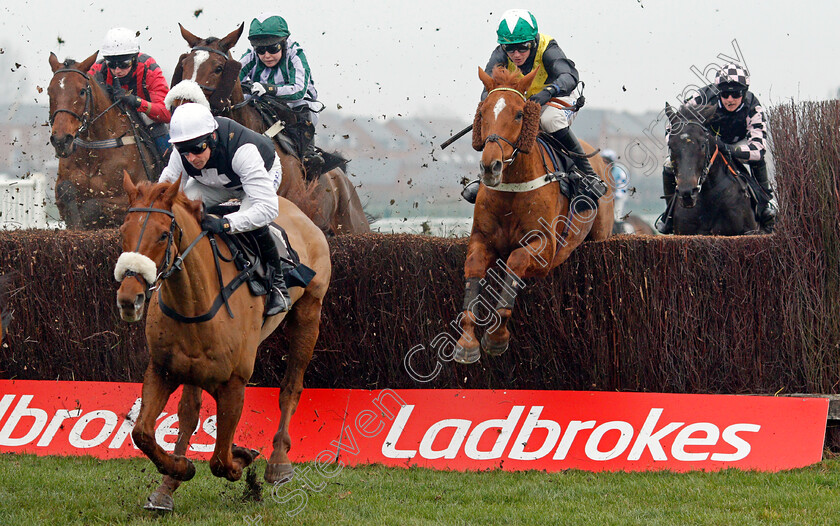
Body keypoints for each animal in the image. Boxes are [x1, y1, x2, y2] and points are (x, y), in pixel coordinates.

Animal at [48, 52, 158, 231]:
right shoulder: (60, 198)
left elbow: (93, 205)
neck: (94, 152)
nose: (61, 140)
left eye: (82, 91)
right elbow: (66, 190)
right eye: (49, 92)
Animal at [113, 175, 330, 512]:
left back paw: (279, 462)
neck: (195, 304)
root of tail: (297, 209)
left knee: (291, 388)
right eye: (123, 232)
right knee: (188, 412)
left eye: (163, 234)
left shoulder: (234, 383)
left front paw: (242, 458)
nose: (129, 299)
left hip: (309, 314)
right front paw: (176, 473)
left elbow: (220, 461)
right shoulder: (163, 369)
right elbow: (145, 433)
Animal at [452, 68, 616, 366]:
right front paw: (467, 341)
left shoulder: (545, 250)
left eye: (519, 114)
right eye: (483, 112)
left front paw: (496, 337)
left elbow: (515, 260)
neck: (513, 188)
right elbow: (473, 268)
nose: (490, 167)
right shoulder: (482, 238)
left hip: (601, 233)